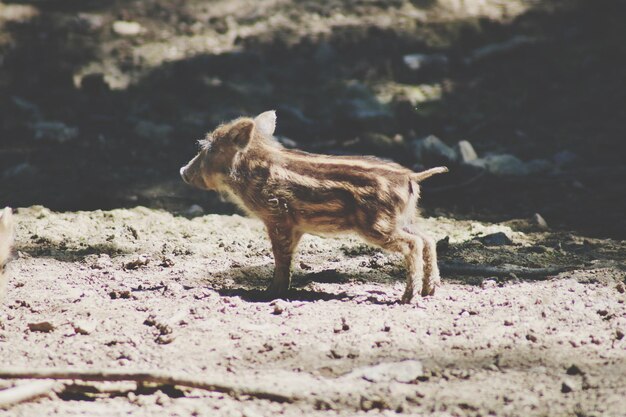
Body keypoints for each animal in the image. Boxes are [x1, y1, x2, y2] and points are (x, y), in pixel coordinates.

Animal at [178, 110, 446, 300]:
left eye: (209, 148)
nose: (183, 171)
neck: (251, 170)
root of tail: (411, 176)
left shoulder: (277, 217)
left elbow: (281, 257)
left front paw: (269, 293)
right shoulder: (294, 226)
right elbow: (287, 257)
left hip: (377, 225)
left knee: (413, 244)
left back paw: (408, 297)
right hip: (404, 219)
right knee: (428, 239)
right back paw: (429, 291)